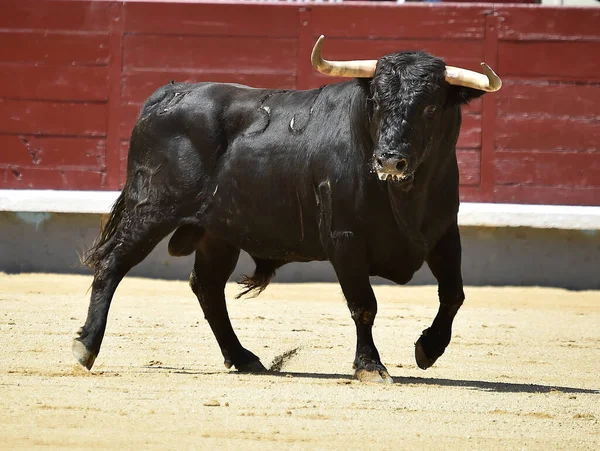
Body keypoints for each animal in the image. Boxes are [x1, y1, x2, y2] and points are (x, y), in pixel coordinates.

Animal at [76, 49, 492, 384]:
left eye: (431, 107)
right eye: (376, 101)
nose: (389, 160)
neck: (404, 195)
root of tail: (167, 94)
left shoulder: (443, 233)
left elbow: (453, 294)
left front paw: (428, 349)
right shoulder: (344, 239)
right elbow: (364, 305)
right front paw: (370, 367)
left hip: (217, 232)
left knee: (207, 286)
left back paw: (243, 358)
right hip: (150, 209)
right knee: (113, 263)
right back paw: (86, 348)